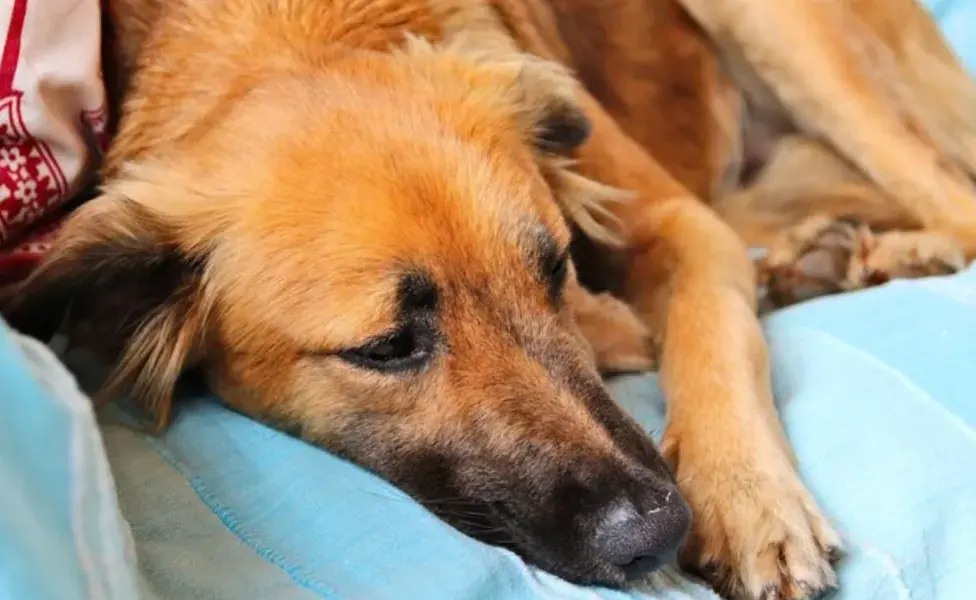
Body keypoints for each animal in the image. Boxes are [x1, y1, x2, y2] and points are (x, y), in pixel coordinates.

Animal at [3, 1, 972, 600]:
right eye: (386, 347)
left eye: (554, 267)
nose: (657, 532)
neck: (297, 29)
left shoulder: (682, 225)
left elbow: (716, 334)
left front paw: (747, 497)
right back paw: (834, 257)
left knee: (949, 187)